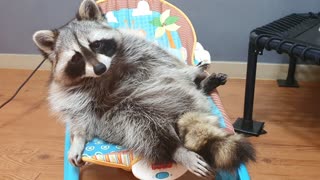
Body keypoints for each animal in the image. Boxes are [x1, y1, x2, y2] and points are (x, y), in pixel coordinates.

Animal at [32, 0, 255, 177]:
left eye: (96, 44)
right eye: (77, 57)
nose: (99, 67)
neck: (105, 74)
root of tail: (180, 114)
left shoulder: (137, 46)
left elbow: (163, 61)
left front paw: (192, 71)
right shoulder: (72, 93)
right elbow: (79, 115)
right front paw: (78, 139)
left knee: (184, 85)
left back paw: (200, 84)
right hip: (125, 116)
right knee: (143, 126)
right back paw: (176, 150)